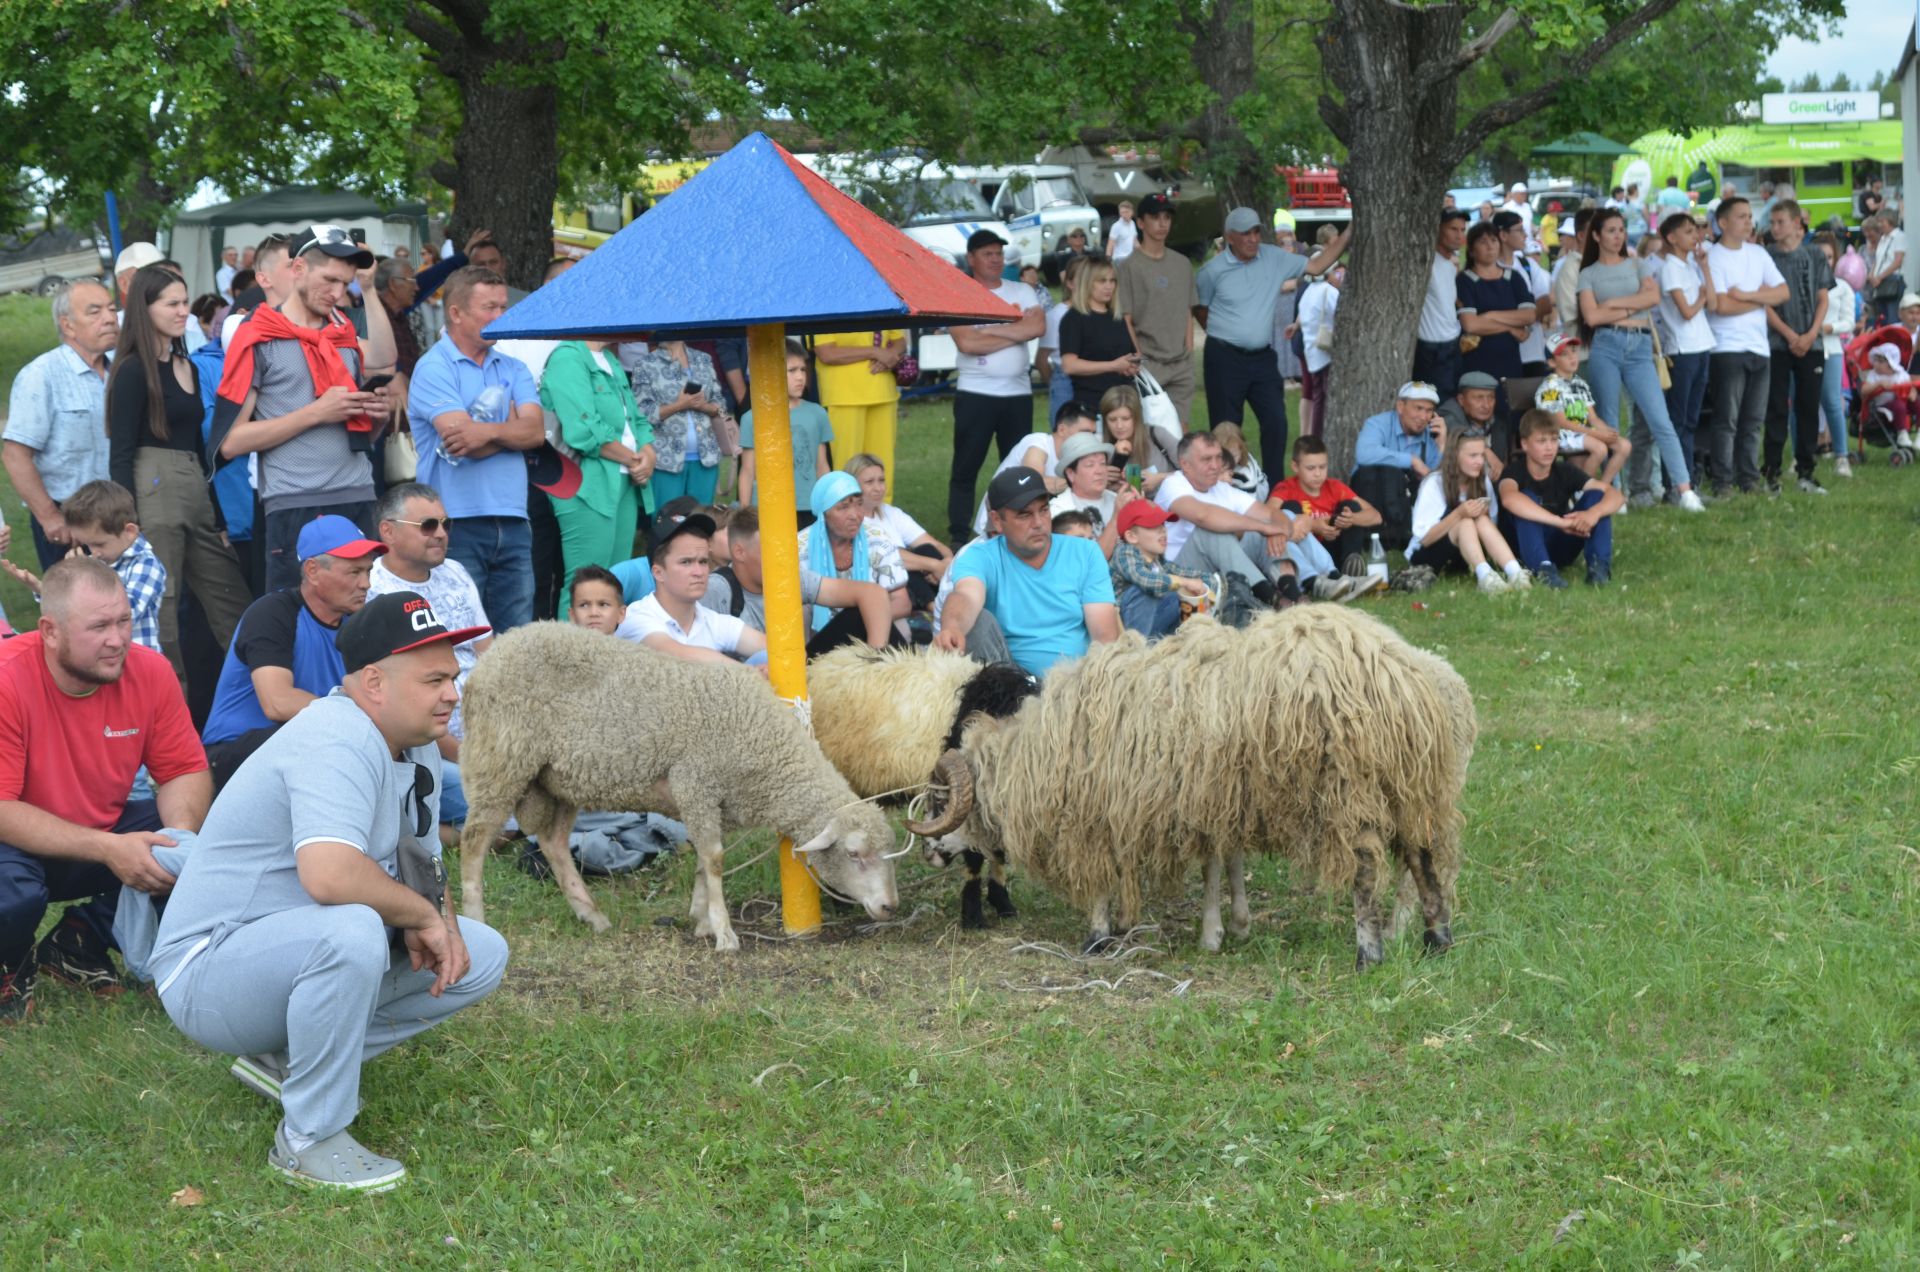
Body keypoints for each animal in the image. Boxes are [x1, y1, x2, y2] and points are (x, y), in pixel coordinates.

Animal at [456, 622, 898, 953]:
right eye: (855, 854)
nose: (890, 906)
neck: (765, 748)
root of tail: (499, 647)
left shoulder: (712, 802)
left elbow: (704, 859)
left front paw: (702, 921)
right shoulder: (696, 782)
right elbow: (715, 859)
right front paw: (724, 933)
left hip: (560, 779)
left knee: (553, 842)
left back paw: (592, 916)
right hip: (499, 759)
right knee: (474, 840)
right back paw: (477, 916)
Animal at [814, 649, 1052, 926]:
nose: (929, 855)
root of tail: (820, 664)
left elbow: (996, 850)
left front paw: (1003, 904)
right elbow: (975, 856)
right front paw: (973, 916)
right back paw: (840, 901)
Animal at [883, 607, 1466, 968]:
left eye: (942, 799)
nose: (930, 854)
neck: (1032, 758)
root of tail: (1398, 677)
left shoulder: (1094, 813)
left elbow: (1104, 878)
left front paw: (1098, 935)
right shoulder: (1199, 798)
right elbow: (1212, 864)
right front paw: (1217, 927)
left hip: (1352, 788)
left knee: (1367, 869)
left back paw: (1370, 952)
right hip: (1411, 786)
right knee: (1423, 858)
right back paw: (1437, 938)